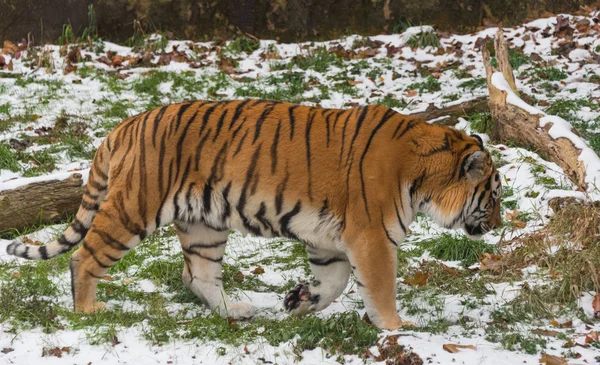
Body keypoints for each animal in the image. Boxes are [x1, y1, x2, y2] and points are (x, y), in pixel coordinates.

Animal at [5, 99, 502, 330]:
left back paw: (236, 311)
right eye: (494, 196)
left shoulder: (330, 240)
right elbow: (379, 288)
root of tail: (123, 126)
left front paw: (299, 301)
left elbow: (335, 281)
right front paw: (397, 327)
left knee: (197, 275)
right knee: (84, 256)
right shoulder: (371, 237)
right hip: (133, 209)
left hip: (204, 225)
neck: (424, 174)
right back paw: (88, 309)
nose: (498, 224)